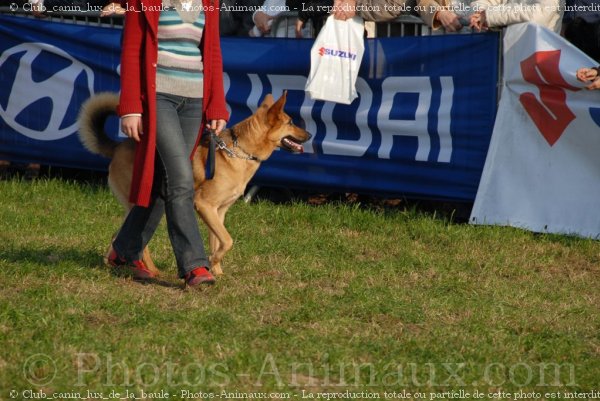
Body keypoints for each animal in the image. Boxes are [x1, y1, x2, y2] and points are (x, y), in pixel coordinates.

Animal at [78, 90, 312, 276]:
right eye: (290, 122)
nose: (310, 135)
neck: (240, 150)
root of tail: (117, 147)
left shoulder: (219, 212)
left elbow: (218, 241)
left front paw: (217, 271)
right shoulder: (204, 205)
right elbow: (228, 240)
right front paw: (211, 263)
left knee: (117, 235)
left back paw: (114, 264)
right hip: (144, 201)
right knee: (137, 241)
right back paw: (150, 270)